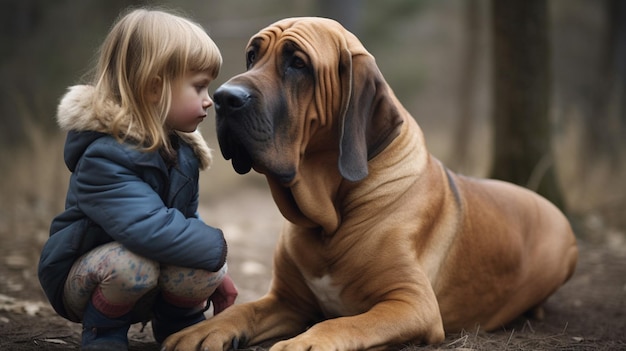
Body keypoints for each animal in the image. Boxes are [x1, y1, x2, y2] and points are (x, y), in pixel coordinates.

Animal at [161, 17, 576, 351]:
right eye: (252, 56)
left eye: (298, 63)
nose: (223, 98)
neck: (329, 220)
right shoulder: (288, 300)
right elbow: (242, 311)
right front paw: (203, 329)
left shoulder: (411, 303)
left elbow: (346, 322)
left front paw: (306, 343)